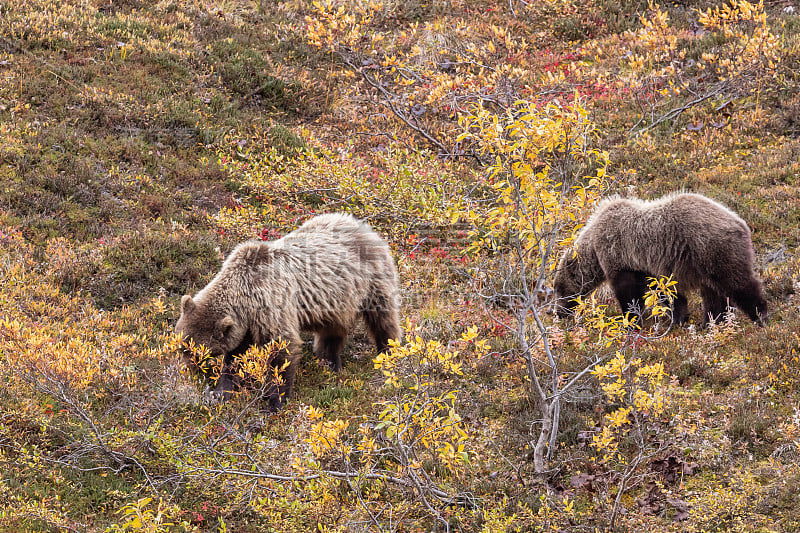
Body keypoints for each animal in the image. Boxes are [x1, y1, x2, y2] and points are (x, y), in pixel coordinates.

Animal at [175, 212, 400, 408]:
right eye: (182, 347)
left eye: (198, 353)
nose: (188, 371)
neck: (245, 294)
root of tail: (364, 226)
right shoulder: (246, 324)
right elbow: (237, 358)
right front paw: (221, 392)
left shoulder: (270, 304)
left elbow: (282, 350)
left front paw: (275, 402)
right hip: (334, 300)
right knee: (332, 330)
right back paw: (329, 362)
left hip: (371, 280)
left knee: (382, 318)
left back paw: (389, 353)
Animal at [556, 191, 768, 324]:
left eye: (558, 289)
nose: (557, 313)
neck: (593, 244)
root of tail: (741, 223)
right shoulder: (647, 265)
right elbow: (666, 292)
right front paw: (679, 318)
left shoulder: (619, 254)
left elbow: (629, 293)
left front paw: (631, 320)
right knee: (714, 294)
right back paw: (711, 323)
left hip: (713, 249)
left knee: (738, 284)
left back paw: (760, 316)